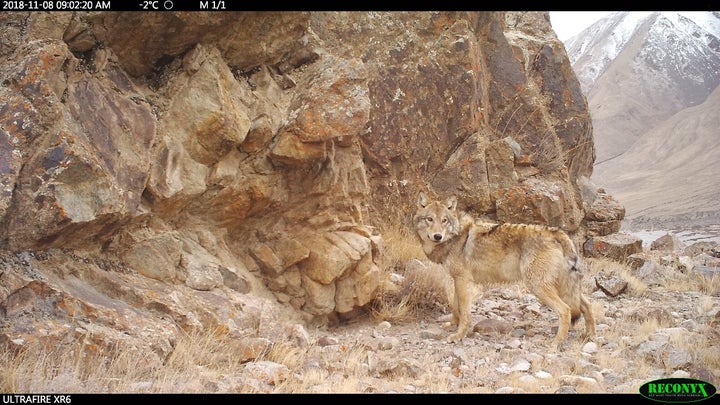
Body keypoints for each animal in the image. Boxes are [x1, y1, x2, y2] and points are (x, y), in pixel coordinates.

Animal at [414, 191, 592, 342]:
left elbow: (463, 312)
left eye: (444, 220)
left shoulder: (463, 281)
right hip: (562, 287)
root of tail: (558, 233)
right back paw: (589, 336)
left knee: (566, 310)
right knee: (586, 305)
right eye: (430, 219)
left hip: (538, 287)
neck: (455, 237)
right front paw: (453, 326)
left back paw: (555, 344)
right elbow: (456, 308)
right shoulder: (458, 281)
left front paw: (458, 336)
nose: (437, 236)